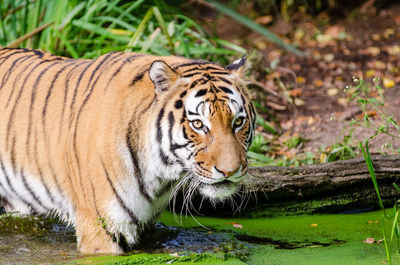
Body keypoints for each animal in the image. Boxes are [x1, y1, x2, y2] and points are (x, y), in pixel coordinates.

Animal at [0, 47, 256, 252]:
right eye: (198, 124)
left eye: (238, 122)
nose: (230, 171)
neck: (160, 174)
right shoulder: (101, 227)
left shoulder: (146, 224)